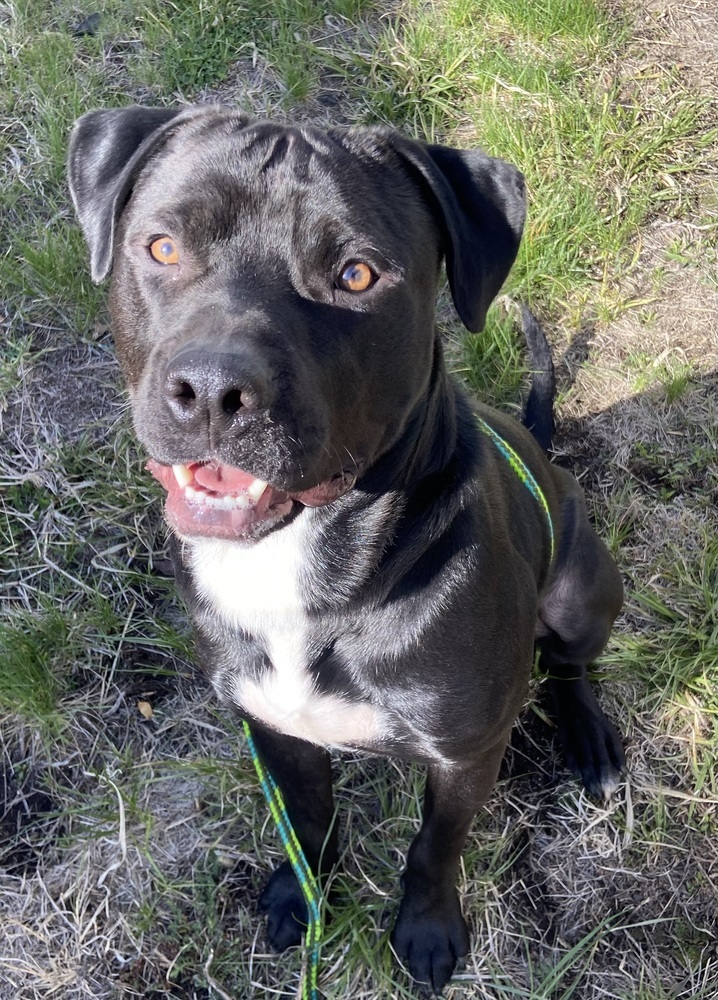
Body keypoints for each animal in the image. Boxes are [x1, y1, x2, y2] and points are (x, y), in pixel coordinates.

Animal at [70, 105, 628, 996]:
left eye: (357, 275)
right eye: (162, 248)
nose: (213, 391)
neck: (297, 563)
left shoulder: (465, 752)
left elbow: (435, 849)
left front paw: (427, 932)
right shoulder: (272, 725)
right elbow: (307, 819)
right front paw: (305, 898)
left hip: (580, 588)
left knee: (569, 663)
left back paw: (590, 738)